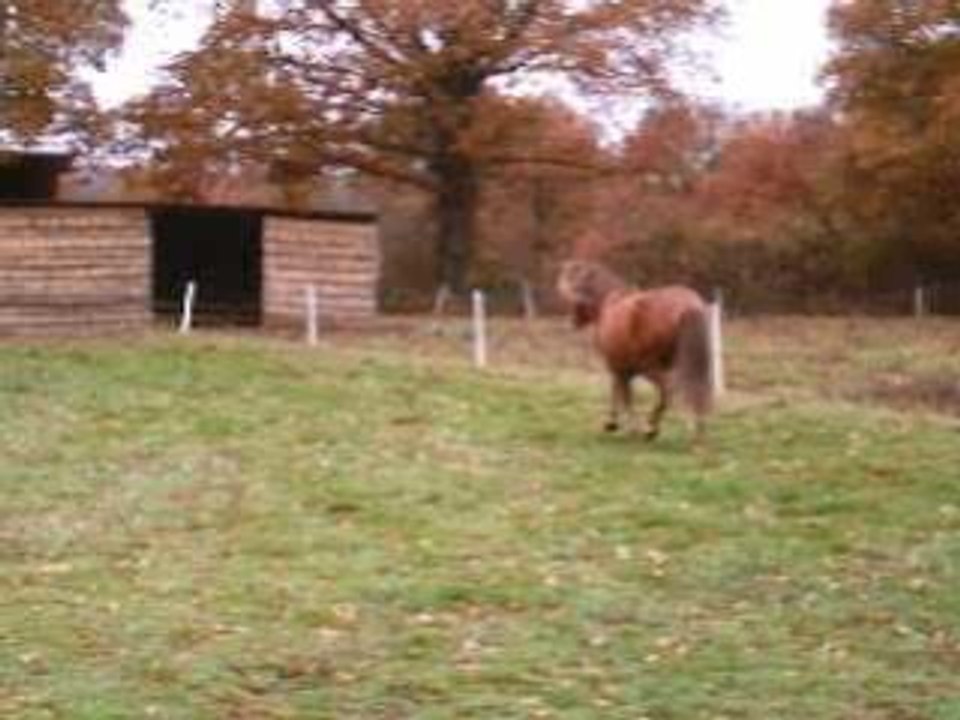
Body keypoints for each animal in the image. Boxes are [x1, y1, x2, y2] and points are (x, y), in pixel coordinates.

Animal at [556, 259, 714, 443]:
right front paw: (619, 425)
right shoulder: (625, 370)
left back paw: (651, 428)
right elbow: (622, 392)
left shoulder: (618, 367)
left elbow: (622, 394)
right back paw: (696, 431)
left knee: (667, 390)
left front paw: (618, 425)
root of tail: (688, 306)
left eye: (578, 288)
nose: (571, 322)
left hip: (651, 367)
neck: (608, 305)